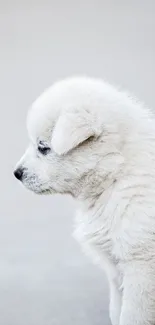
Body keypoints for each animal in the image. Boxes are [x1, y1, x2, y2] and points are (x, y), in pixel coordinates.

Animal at [13, 77, 155, 322]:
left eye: (43, 147)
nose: (16, 173)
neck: (115, 175)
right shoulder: (116, 272)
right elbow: (116, 312)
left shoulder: (141, 268)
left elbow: (131, 316)